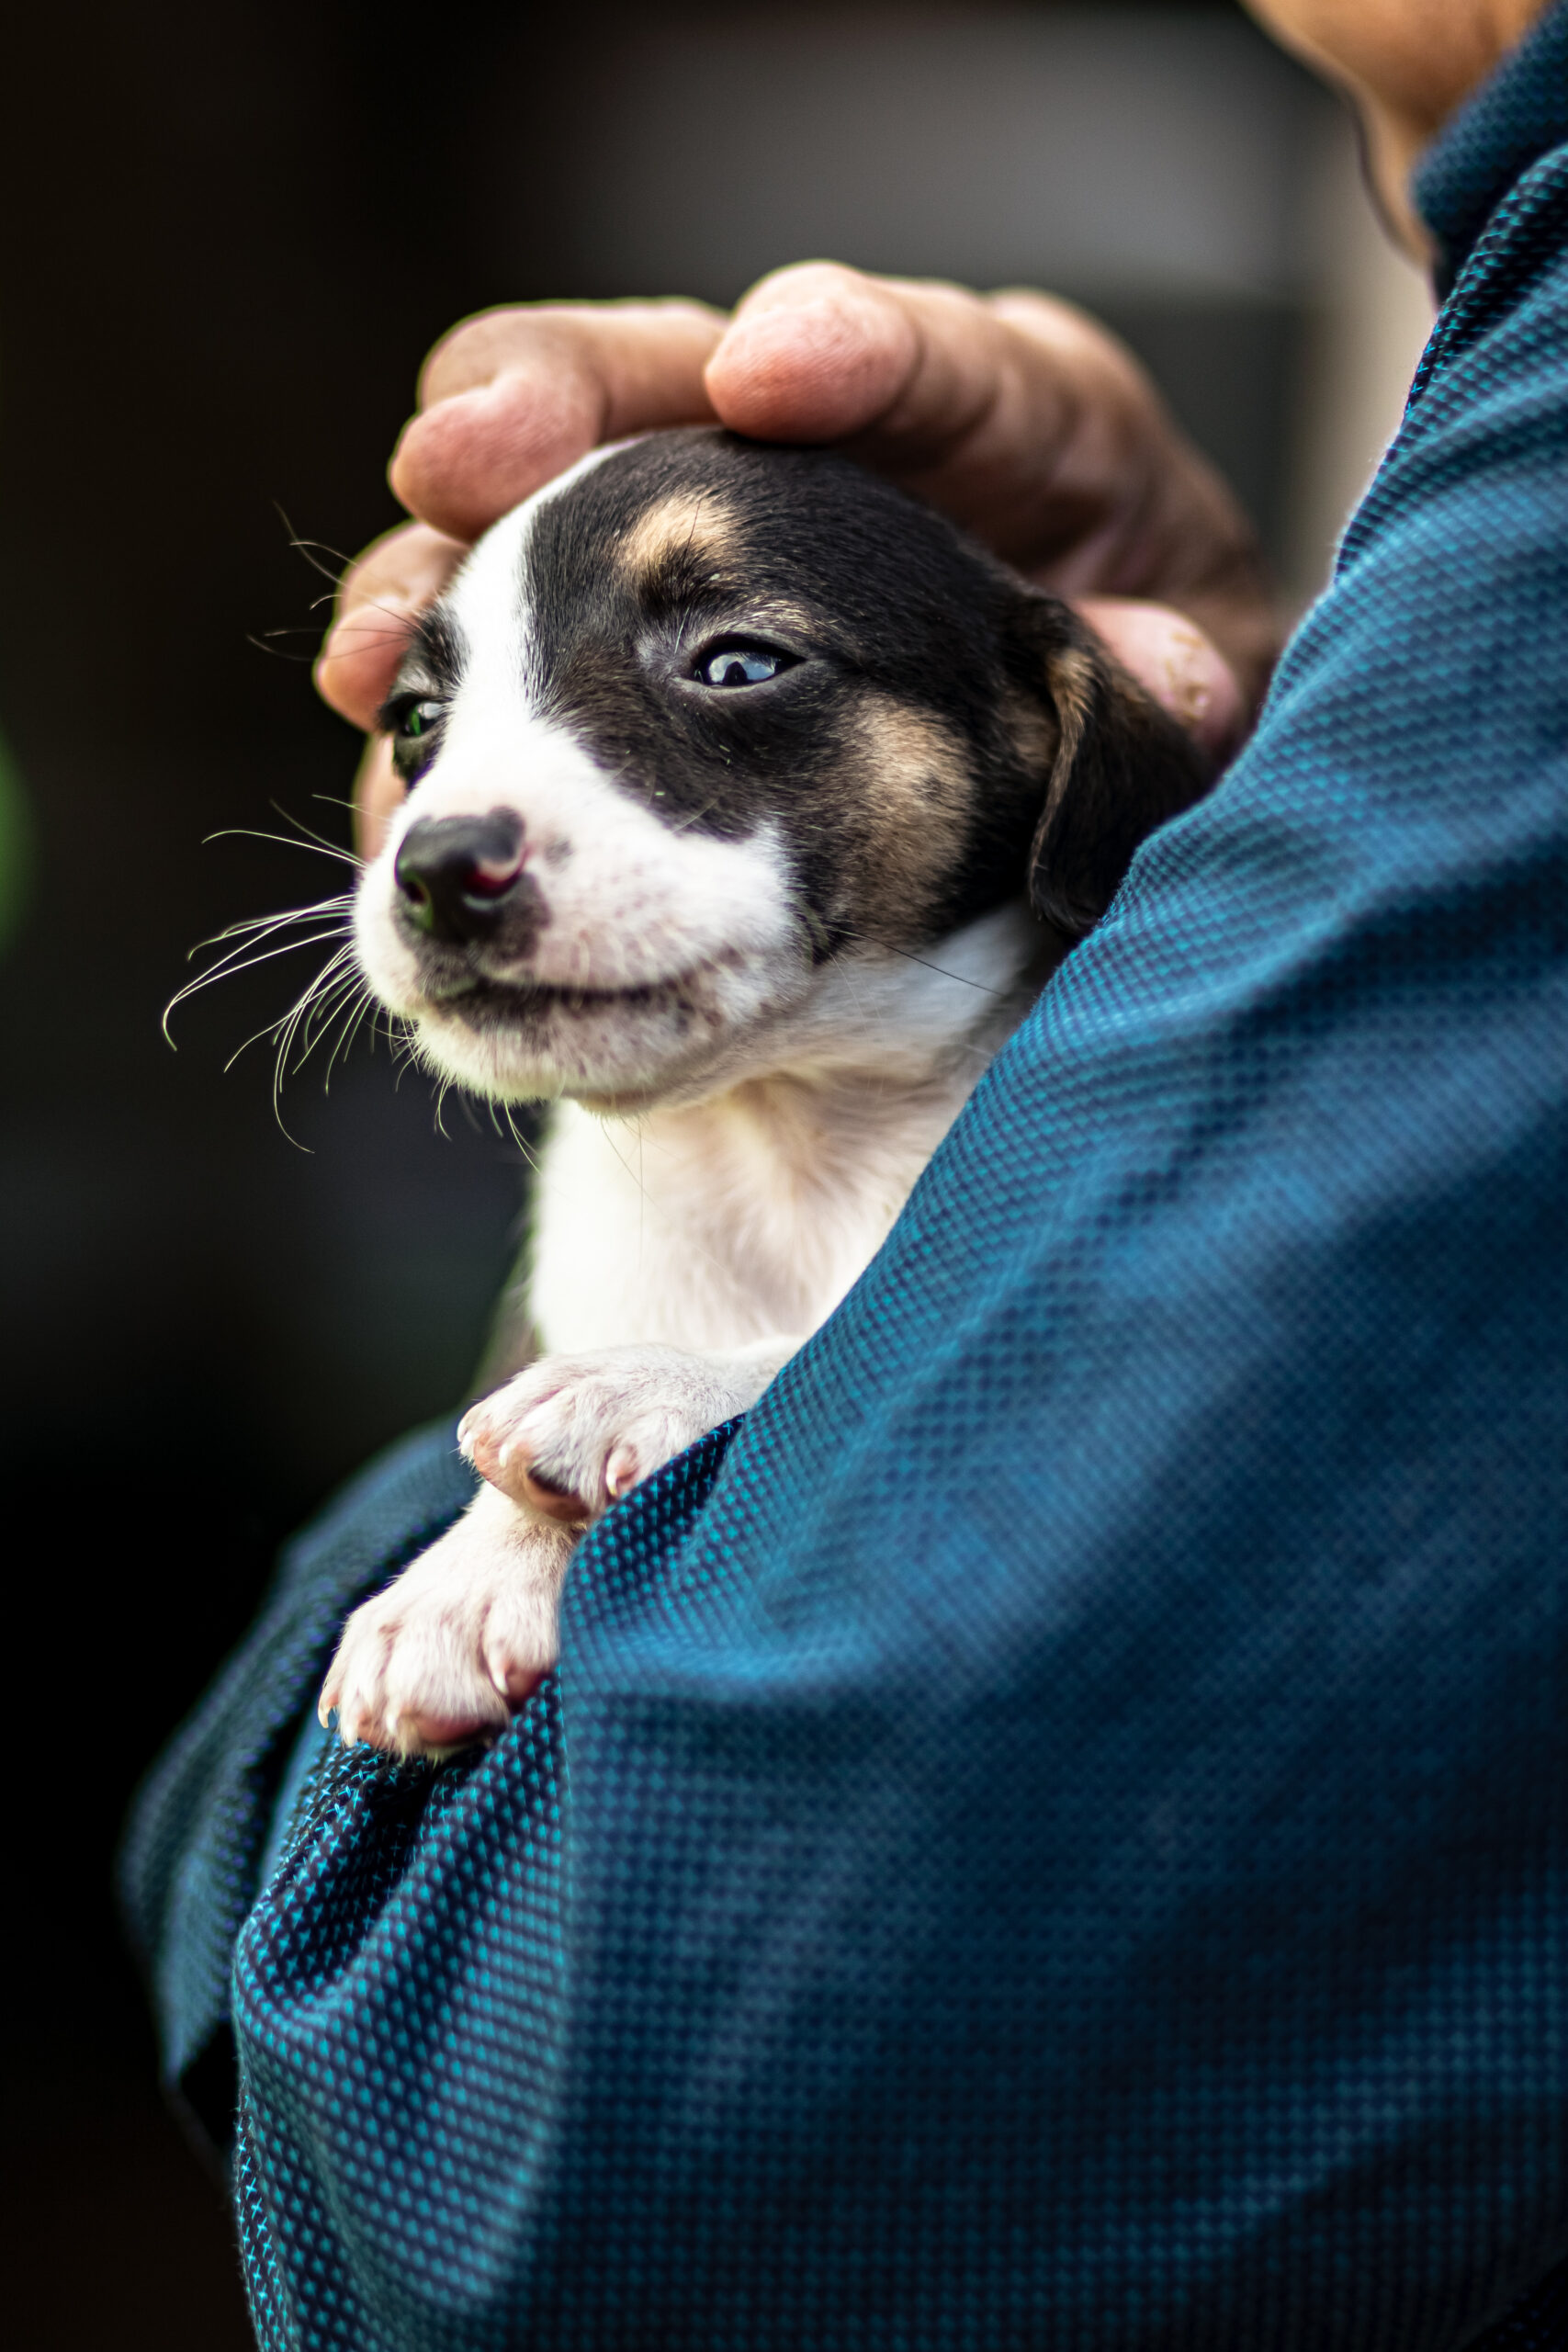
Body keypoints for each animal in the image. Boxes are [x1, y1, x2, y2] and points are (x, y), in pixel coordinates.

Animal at [314, 423, 1203, 1758]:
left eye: (738, 663)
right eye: (416, 718)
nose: (440, 867)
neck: (782, 1128)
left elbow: (841, 1341)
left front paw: (636, 1390)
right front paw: (475, 1568)